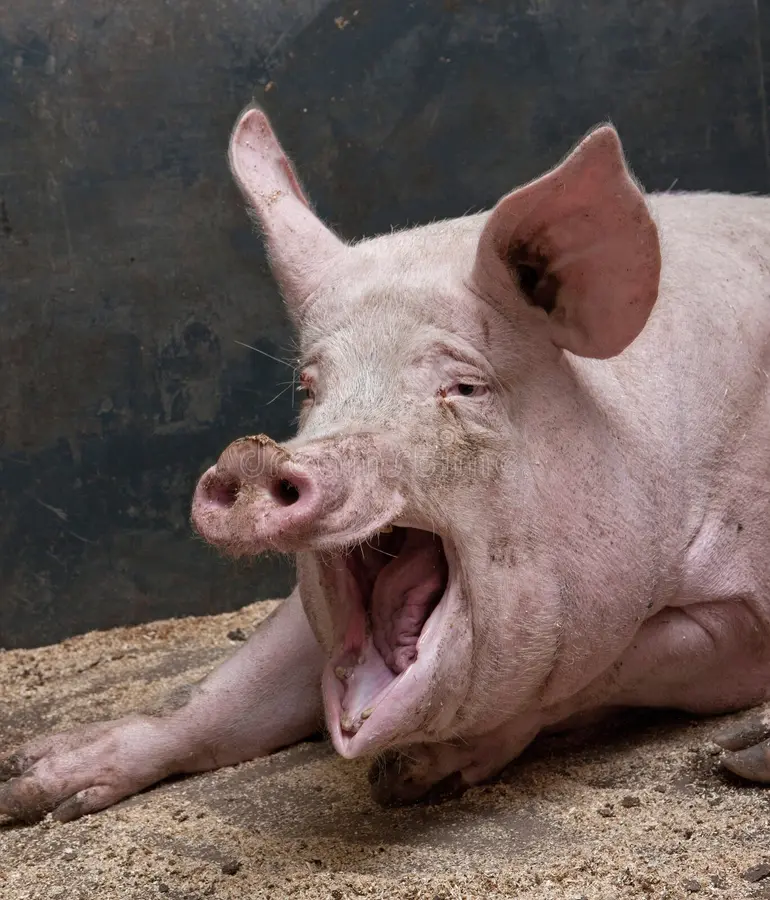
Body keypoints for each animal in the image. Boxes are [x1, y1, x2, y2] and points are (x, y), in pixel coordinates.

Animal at [3, 103, 770, 825]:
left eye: (464, 387)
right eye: (308, 389)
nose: (251, 457)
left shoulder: (740, 619)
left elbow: (599, 673)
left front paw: (405, 777)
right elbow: (234, 690)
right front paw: (27, 784)